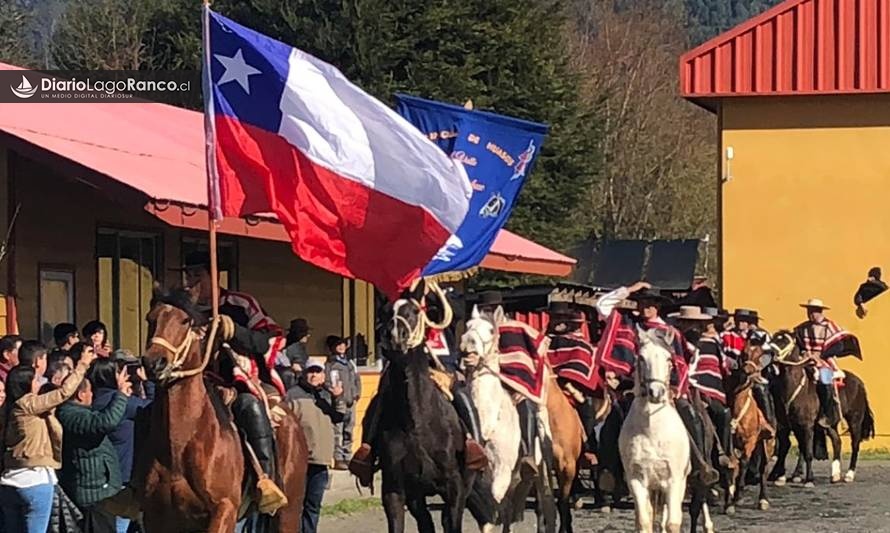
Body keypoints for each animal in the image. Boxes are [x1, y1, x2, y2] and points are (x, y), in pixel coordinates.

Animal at [136, 286, 308, 532]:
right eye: (151, 318)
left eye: (185, 321)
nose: (154, 363)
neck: (178, 448)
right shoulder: (157, 517)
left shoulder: (224, 509)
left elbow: (267, 334)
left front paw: (224, 326)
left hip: (290, 508)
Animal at [620, 328, 692, 532]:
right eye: (641, 358)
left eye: (669, 359)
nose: (656, 392)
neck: (651, 431)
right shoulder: (636, 480)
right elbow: (644, 521)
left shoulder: (674, 480)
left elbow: (672, 523)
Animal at [768, 332, 872, 486]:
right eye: (775, 338)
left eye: (785, 341)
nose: (771, 352)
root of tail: (860, 383)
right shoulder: (784, 425)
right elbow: (785, 448)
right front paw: (780, 477)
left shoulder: (806, 425)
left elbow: (808, 451)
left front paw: (809, 480)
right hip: (830, 423)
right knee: (837, 441)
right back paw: (835, 475)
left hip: (855, 420)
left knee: (855, 444)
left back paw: (849, 474)